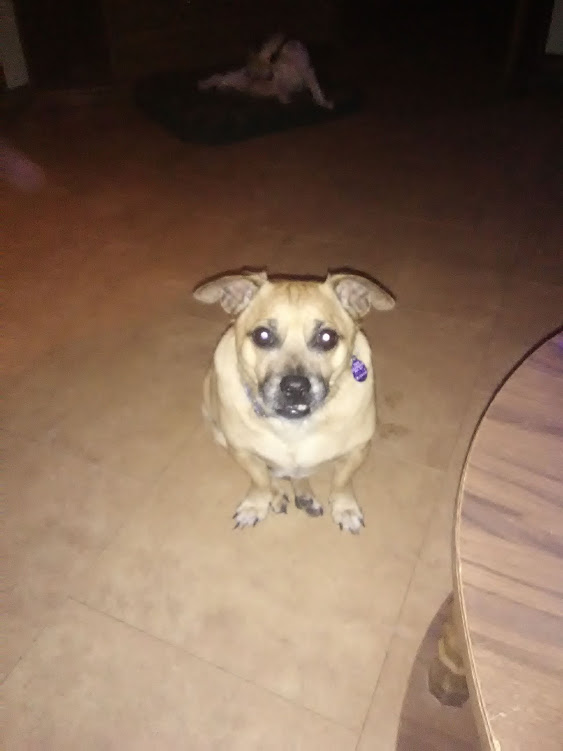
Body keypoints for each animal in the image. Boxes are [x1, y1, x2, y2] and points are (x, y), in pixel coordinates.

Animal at [193, 270, 395, 533]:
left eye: (327, 337)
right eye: (262, 335)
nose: (295, 387)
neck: (294, 426)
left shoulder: (358, 450)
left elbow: (342, 481)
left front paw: (345, 508)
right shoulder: (242, 451)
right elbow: (260, 480)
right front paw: (256, 504)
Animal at [198, 33, 334, 109]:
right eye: (282, 50)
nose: (269, 74)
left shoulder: (308, 73)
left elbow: (316, 90)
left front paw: (323, 102)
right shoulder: (281, 77)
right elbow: (282, 88)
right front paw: (285, 100)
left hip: (238, 83)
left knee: (223, 80)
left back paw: (221, 87)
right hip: (239, 79)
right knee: (219, 76)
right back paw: (205, 84)